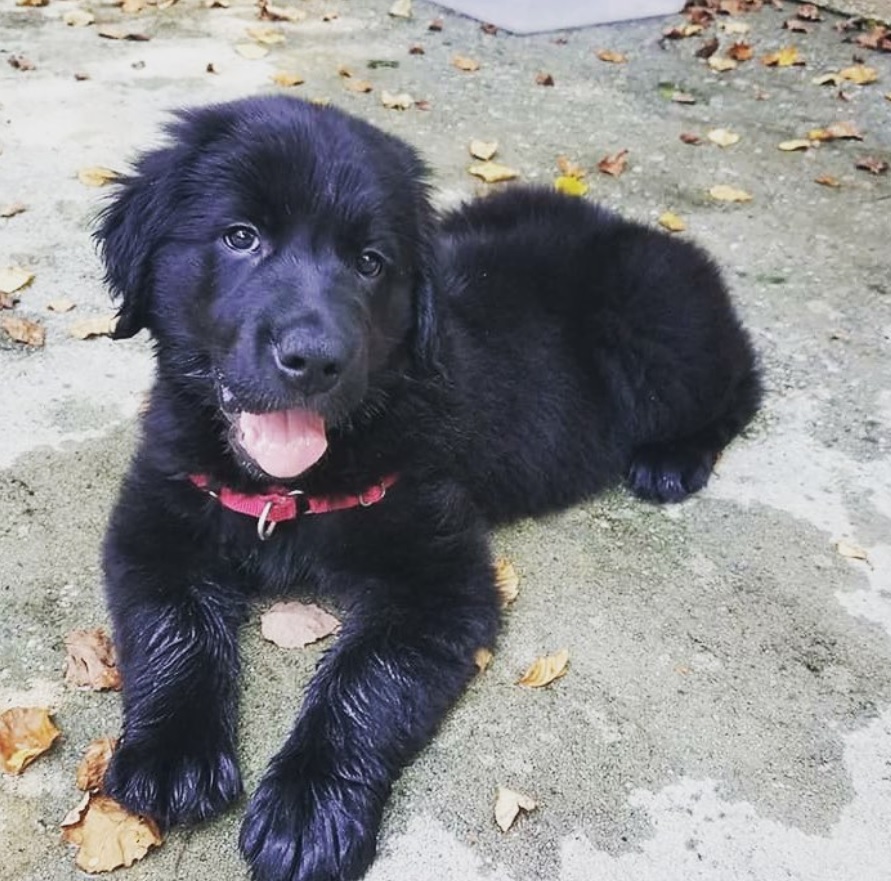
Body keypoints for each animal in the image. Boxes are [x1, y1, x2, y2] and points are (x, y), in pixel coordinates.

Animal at [97, 96, 764, 880]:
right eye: (240, 237)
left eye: (369, 262)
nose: (315, 359)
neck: (285, 493)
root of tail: (640, 230)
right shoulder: (155, 520)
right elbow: (173, 626)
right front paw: (171, 756)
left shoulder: (439, 573)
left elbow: (365, 677)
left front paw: (308, 807)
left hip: (659, 330)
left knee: (741, 383)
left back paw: (673, 458)